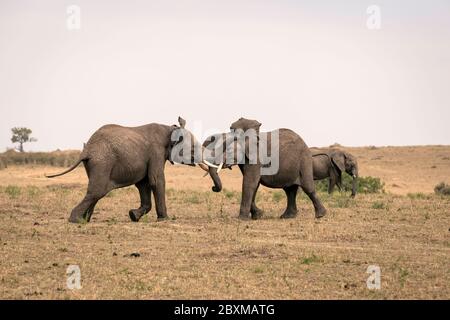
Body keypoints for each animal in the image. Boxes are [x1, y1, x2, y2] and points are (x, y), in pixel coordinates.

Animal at [46, 116, 221, 224]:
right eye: (193, 149)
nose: (213, 188)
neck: (170, 129)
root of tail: (87, 149)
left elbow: (143, 184)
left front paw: (133, 216)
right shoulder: (156, 151)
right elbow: (156, 180)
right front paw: (165, 219)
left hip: (94, 164)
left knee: (96, 192)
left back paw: (84, 220)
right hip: (103, 162)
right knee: (96, 191)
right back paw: (75, 220)